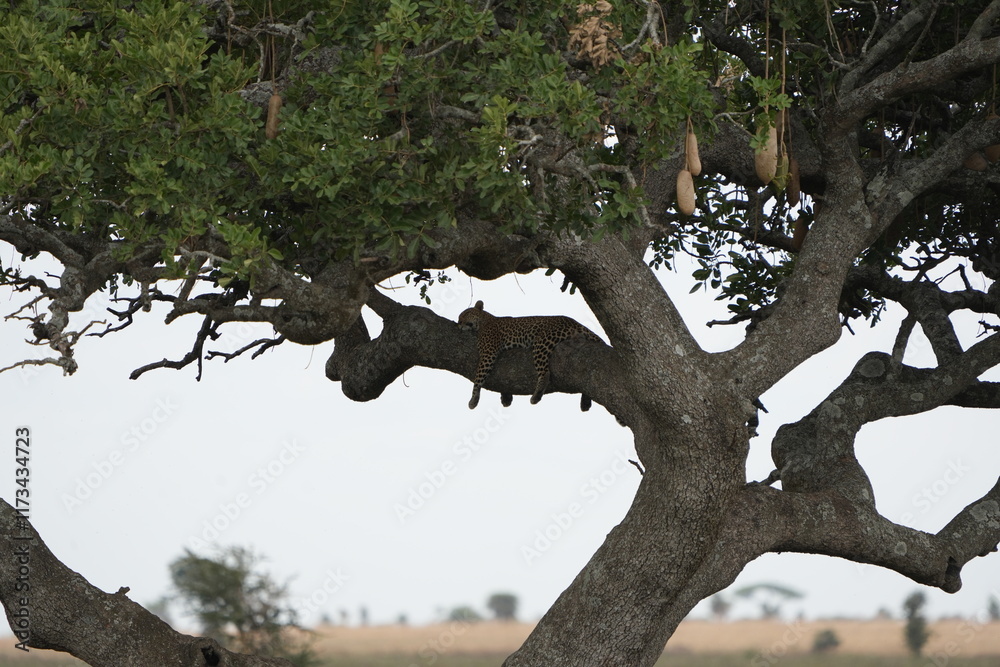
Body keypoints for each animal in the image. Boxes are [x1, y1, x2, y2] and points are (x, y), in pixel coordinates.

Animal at [457, 300, 602, 411]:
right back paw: (585, 403)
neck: (485, 320)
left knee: (545, 373)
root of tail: (575, 323)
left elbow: (478, 377)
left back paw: (536, 396)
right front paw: (506, 398)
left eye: (465, 314)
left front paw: (473, 400)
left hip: (542, 342)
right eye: (459, 319)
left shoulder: (488, 353)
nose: (458, 324)